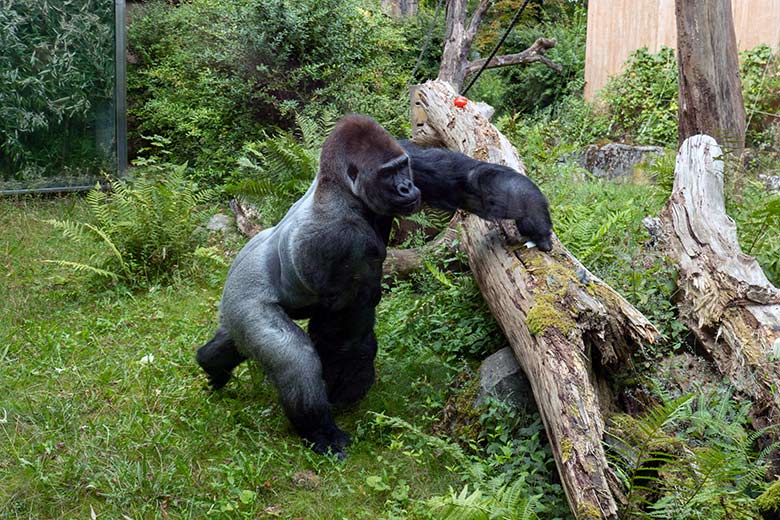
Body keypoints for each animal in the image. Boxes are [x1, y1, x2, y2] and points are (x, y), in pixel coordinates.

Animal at [198, 115, 552, 460]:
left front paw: (530, 212)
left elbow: (468, 180)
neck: (340, 189)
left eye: (401, 168)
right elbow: (345, 329)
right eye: (387, 175)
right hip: (246, 299)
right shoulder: (341, 239)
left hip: (237, 306)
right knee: (293, 358)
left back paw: (211, 362)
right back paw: (321, 432)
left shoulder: (408, 152)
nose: (406, 187)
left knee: (238, 339)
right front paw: (342, 394)